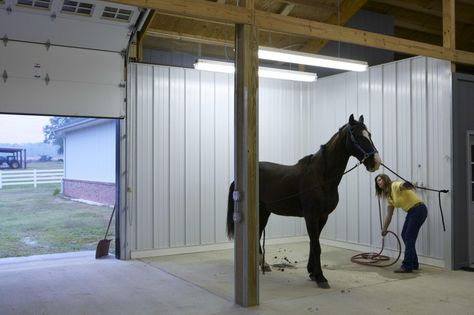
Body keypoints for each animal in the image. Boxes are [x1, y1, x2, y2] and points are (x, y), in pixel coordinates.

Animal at [227, 115, 382, 290]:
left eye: (369, 134)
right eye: (356, 136)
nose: (375, 161)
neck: (322, 177)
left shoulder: (322, 217)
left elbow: (313, 243)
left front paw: (312, 272)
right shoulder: (311, 216)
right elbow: (316, 246)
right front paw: (321, 277)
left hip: (265, 211)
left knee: (258, 233)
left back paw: (263, 264)